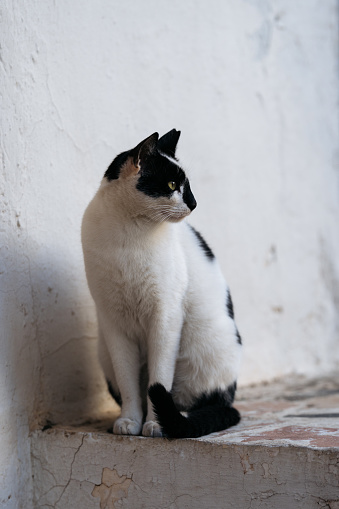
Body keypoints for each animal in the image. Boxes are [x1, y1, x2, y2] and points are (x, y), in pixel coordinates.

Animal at [81, 130, 243, 436]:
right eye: (171, 185)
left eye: (187, 185)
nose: (193, 203)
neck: (129, 233)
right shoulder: (113, 322)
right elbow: (129, 384)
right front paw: (130, 421)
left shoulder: (165, 316)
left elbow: (159, 377)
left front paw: (155, 424)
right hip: (103, 351)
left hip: (205, 347)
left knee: (195, 402)